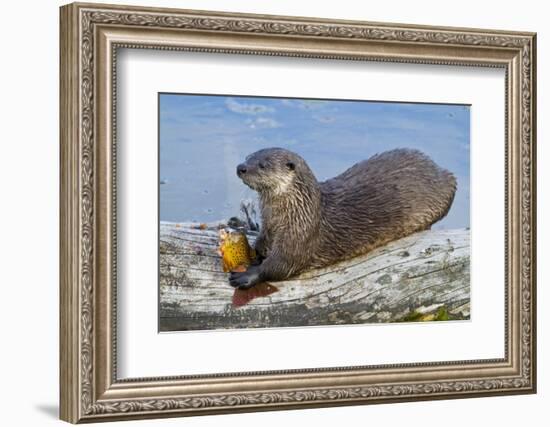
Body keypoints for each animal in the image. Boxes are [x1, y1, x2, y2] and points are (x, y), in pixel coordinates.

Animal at [229, 148, 458, 290]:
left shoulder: (301, 234)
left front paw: (247, 275)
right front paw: (251, 252)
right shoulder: (269, 226)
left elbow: (282, 264)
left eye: (262, 165)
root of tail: (437, 167)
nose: (240, 167)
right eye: (248, 157)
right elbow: (261, 244)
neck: (296, 211)